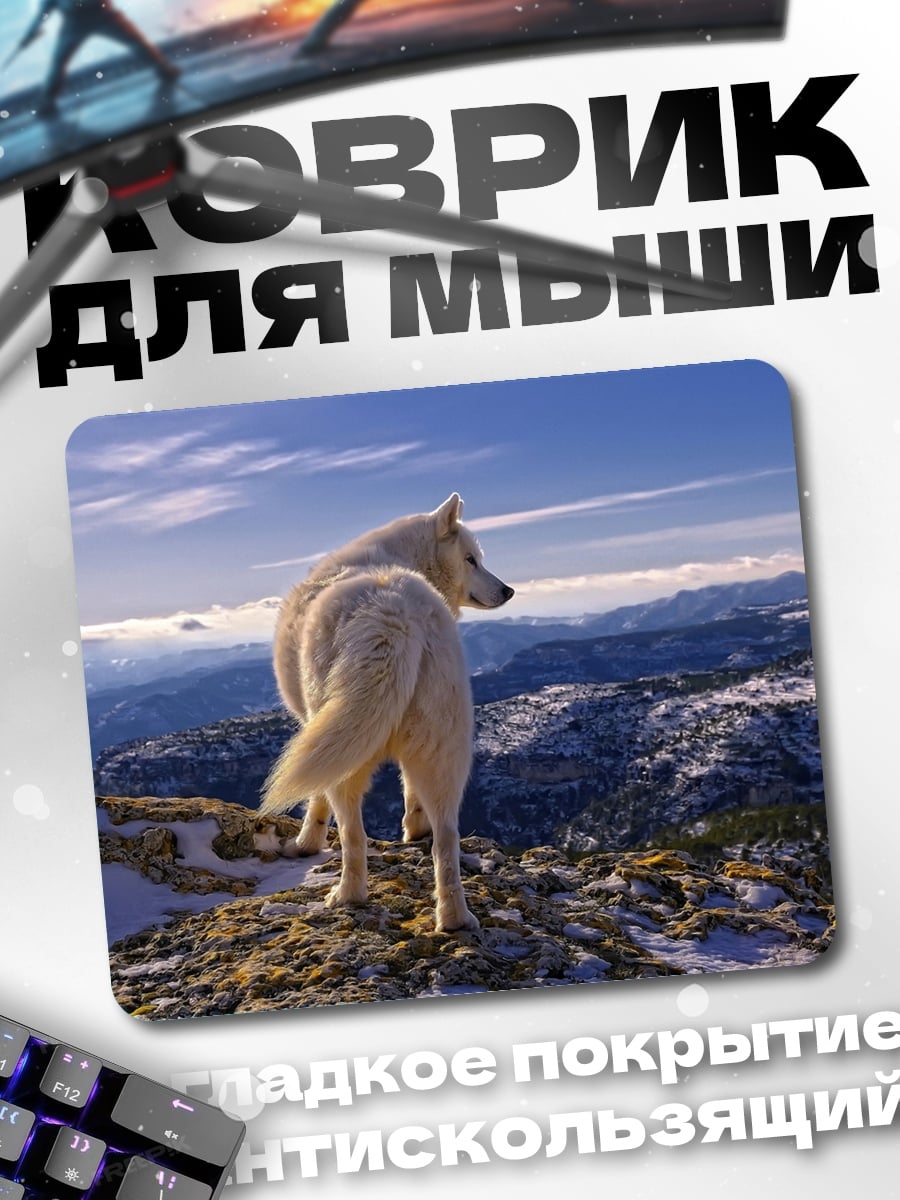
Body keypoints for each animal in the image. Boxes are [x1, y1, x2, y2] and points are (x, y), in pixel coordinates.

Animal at [259, 494, 514, 932]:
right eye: (471, 560)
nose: (509, 590)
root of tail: (395, 613)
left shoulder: (316, 728)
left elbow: (316, 802)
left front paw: (305, 844)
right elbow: (409, 794)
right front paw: (414, 830)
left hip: (348, 754)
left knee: (353, 835)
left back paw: (346, 895)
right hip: (443, 750)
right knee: (447, 838)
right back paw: (454, 918)